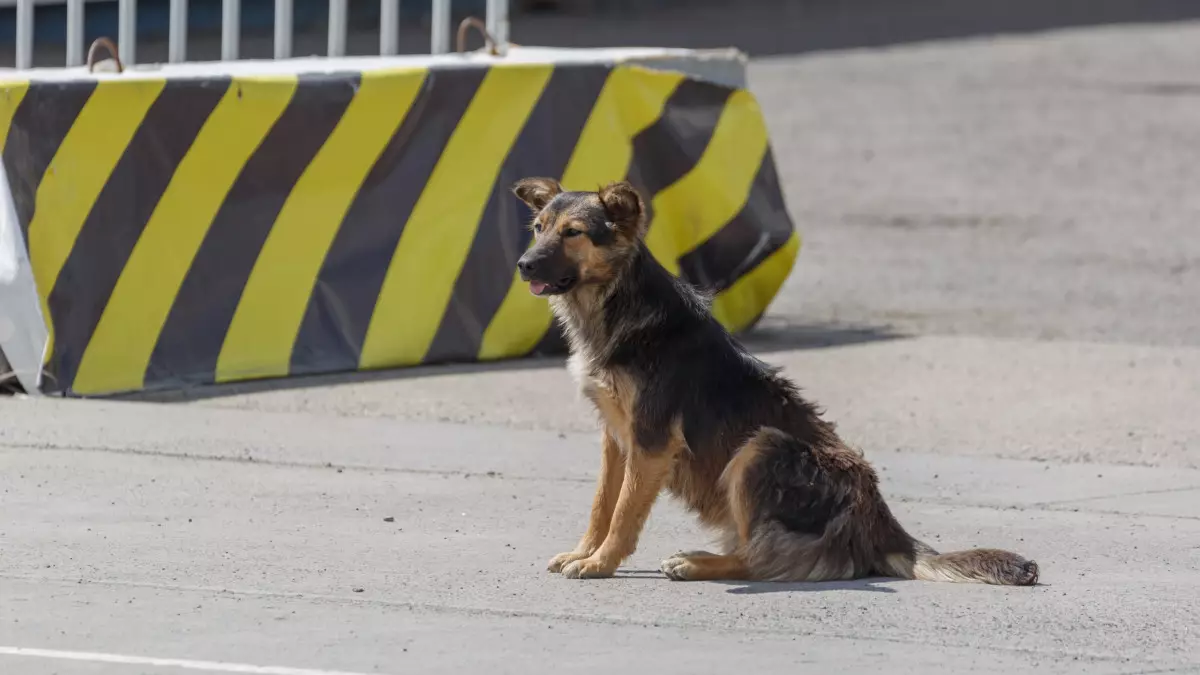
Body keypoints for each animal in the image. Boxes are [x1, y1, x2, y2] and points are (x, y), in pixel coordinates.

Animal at [511, 177, 1036, 583]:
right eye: (538, 229)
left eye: (573, 233)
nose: (523, 264)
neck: (616, 305)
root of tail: (879, 522)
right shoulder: (617, 438)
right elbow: (602, 503)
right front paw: (585, 552)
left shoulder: (652, 442)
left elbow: (623, 512)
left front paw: (600, 563)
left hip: (758, 450)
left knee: (759, 561)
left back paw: (696, 564)